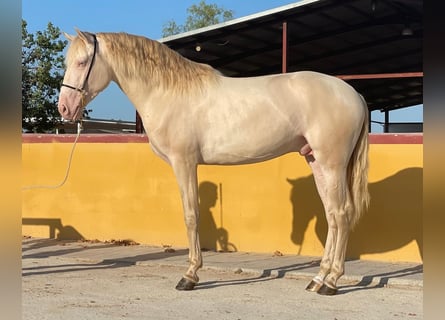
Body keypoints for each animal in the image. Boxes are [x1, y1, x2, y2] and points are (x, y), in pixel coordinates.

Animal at [57, 30, 370, 296]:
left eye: (82, 62)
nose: (64, 108)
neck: (168, 92)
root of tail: (353, 94)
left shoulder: (184, 162)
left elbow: (191, 215)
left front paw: (190, 276)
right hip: (316, 161)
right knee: (331, 215)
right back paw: (318, 279)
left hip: (332, 164)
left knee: (341, 214)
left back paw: (331, 282)